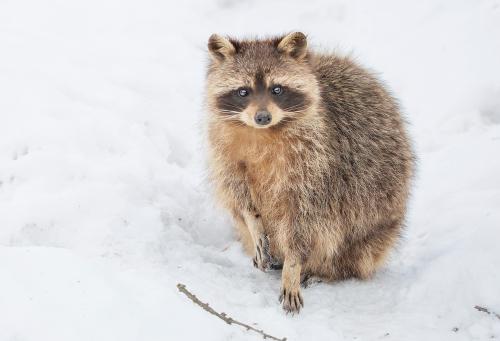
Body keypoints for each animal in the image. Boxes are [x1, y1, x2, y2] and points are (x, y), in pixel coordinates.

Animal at [204, 33, 414, 312]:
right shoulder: (224, 150)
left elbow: (304, 221)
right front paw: (254, 221)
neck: (262, 133)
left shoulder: (319, 165)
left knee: (351, 243)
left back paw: (328, 271)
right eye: (243, 91)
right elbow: (238, 194)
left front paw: (293, 267)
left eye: (277, 89)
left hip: (378, 215)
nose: (262, 117)